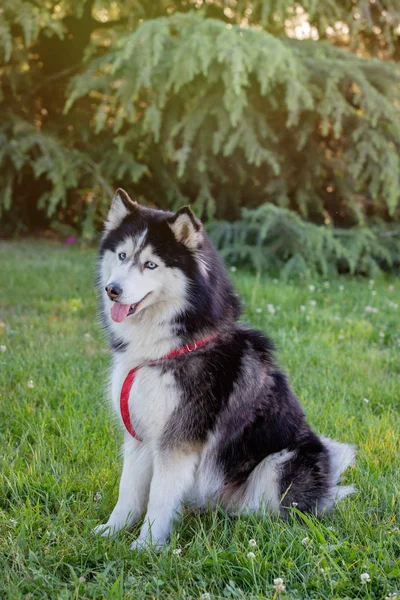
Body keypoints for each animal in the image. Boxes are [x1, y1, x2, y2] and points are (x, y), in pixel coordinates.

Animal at [95, 189, 354, 548]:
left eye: (150, 264)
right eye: (121, 256)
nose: (113, 290)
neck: (165, 348)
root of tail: (327, 485)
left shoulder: (178, 440)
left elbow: (159, 498)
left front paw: (145, 546)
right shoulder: (139, 434)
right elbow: (128, 491)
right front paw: (112, 531)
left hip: (281, 461)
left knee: (268, 511)